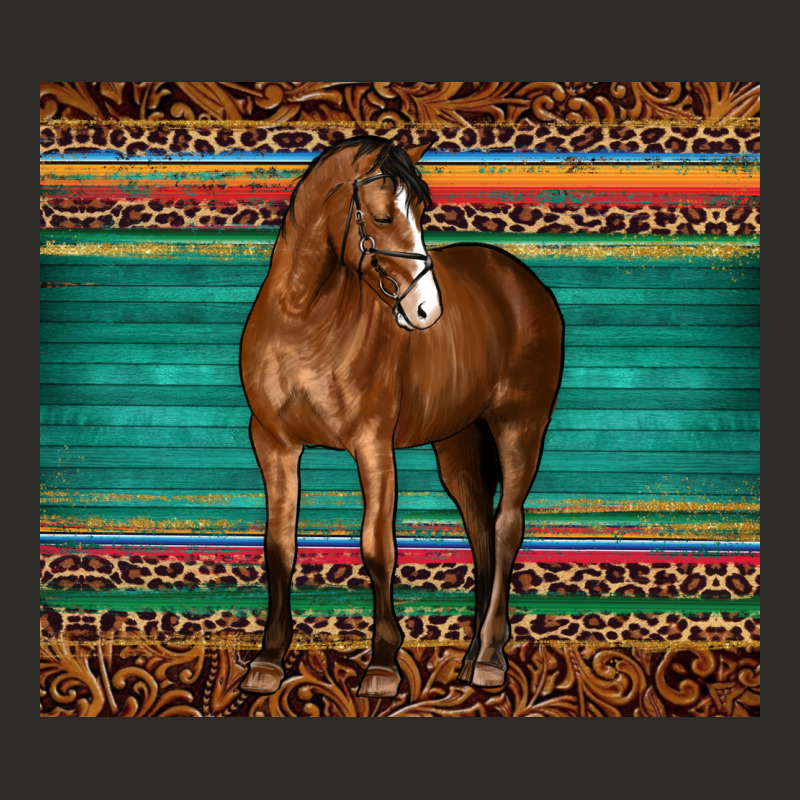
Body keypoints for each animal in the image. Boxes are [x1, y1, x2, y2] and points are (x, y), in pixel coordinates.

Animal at [239, 136, 564, 698]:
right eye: (384, 216)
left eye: (422, 211)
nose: (425, 311)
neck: (303, 320)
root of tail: (520, 281)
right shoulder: (274, 444)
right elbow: (279, 545)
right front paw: (268, 660)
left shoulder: (373, 446)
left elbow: (378, 548)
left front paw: (383, 665)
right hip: (458, 442)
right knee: (480, 530)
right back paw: (471, 654)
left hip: (520, 425)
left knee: (506, 526)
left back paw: (490, 659)